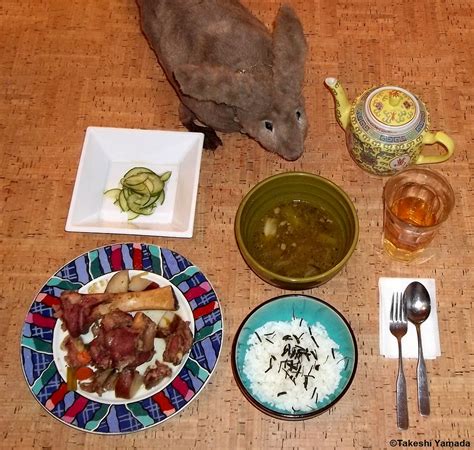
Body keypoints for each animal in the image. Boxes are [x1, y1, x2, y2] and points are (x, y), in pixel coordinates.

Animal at [135, 0, 310, 162]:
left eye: (298, 114)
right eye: (268, 125)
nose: (294, 154)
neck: (257, 72)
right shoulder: (191, 101)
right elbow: (185, 117)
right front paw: (209, 139)